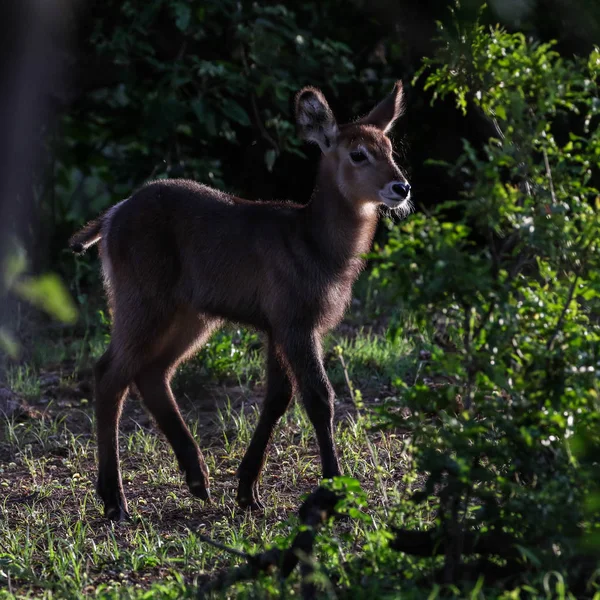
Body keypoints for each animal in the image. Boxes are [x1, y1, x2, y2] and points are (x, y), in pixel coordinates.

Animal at [69, 79, 408, 520]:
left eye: (389, 148)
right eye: (358, 153)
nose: (401, 187)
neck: (314, 241)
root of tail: (113, 214)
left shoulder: (277, 327)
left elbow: (277, 399)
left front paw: (248, 490)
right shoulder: (296, 324)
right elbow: (319, 398)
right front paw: (329, 494)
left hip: (191, 315)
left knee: (152, 373)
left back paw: (197, 479)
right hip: (142, 303)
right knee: (109, 374)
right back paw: (115, 501)